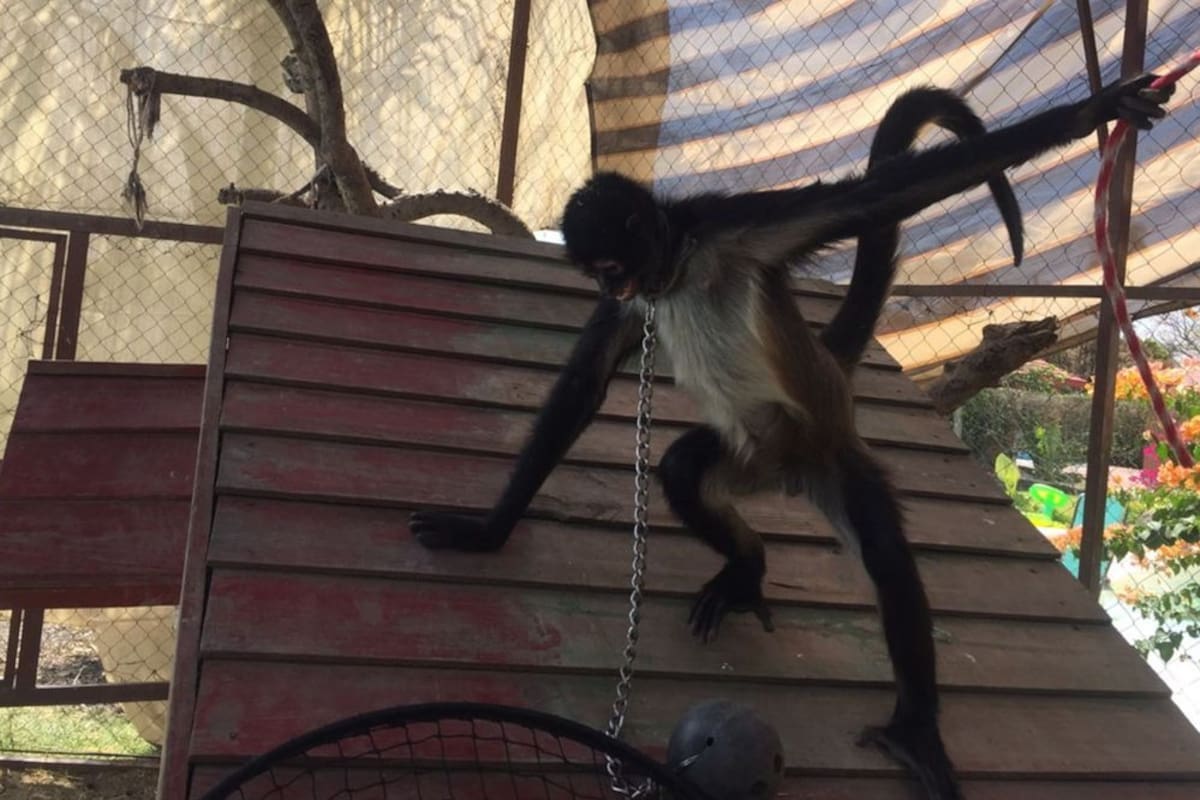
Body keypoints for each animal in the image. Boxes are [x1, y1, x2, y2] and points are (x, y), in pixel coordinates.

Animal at [409, 75, 1173, 799]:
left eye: (614, 267)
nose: (618, 287)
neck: (678, 269)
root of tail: (793, 460)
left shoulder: (730, 224)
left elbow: (870, 199)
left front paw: (1094, 111)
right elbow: (583, 386)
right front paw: (486, 532)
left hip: (829, 453)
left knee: (885, 554)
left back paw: (915, 734)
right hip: (748, 456)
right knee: (682, 467)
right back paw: (748, 566)